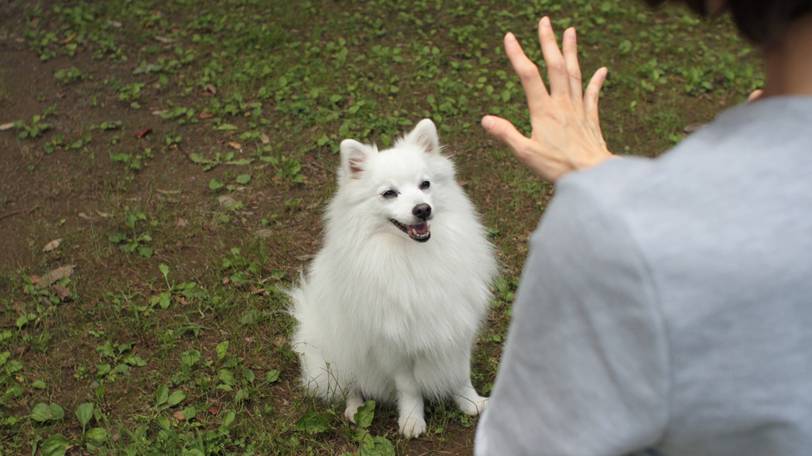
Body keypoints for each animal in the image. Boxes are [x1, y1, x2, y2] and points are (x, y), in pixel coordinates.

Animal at [288, 118, 498, 438]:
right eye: (389, 193)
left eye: (425, 185)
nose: (422, 209)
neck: (413, 254)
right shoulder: (394, 345)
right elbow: (409, 388)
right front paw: (412, 420)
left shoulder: (456, 328)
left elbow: (461, 374)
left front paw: (471, 403)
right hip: (339, 350)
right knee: (350, 384)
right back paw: (356, 408)